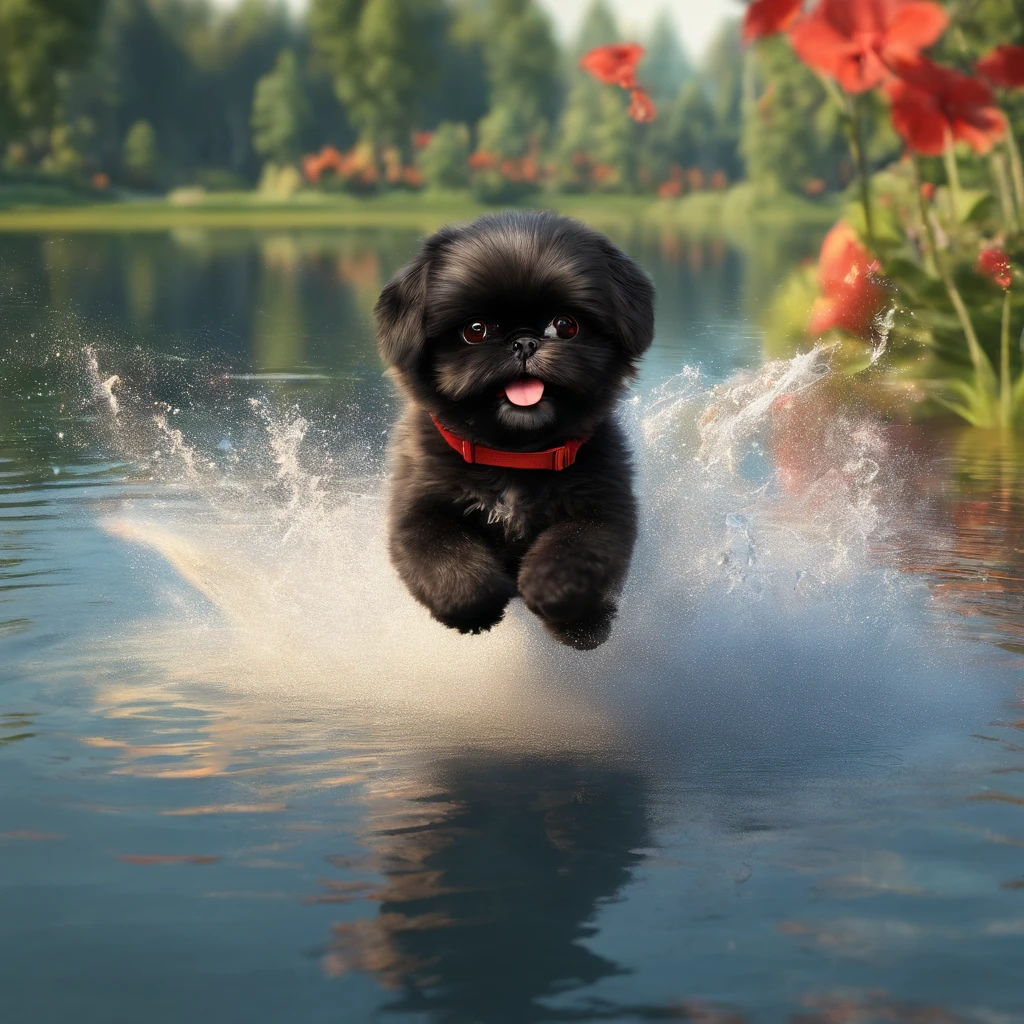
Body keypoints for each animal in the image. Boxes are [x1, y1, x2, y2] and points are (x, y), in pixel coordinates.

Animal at [376, 209, 655, 647]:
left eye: (565, 325)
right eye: (475, 330)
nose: (523, 342)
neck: (514, 456)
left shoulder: (606, 508)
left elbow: (576, 549)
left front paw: (559, 599)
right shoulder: (416, 510)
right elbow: (443, 555)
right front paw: (475, 604)